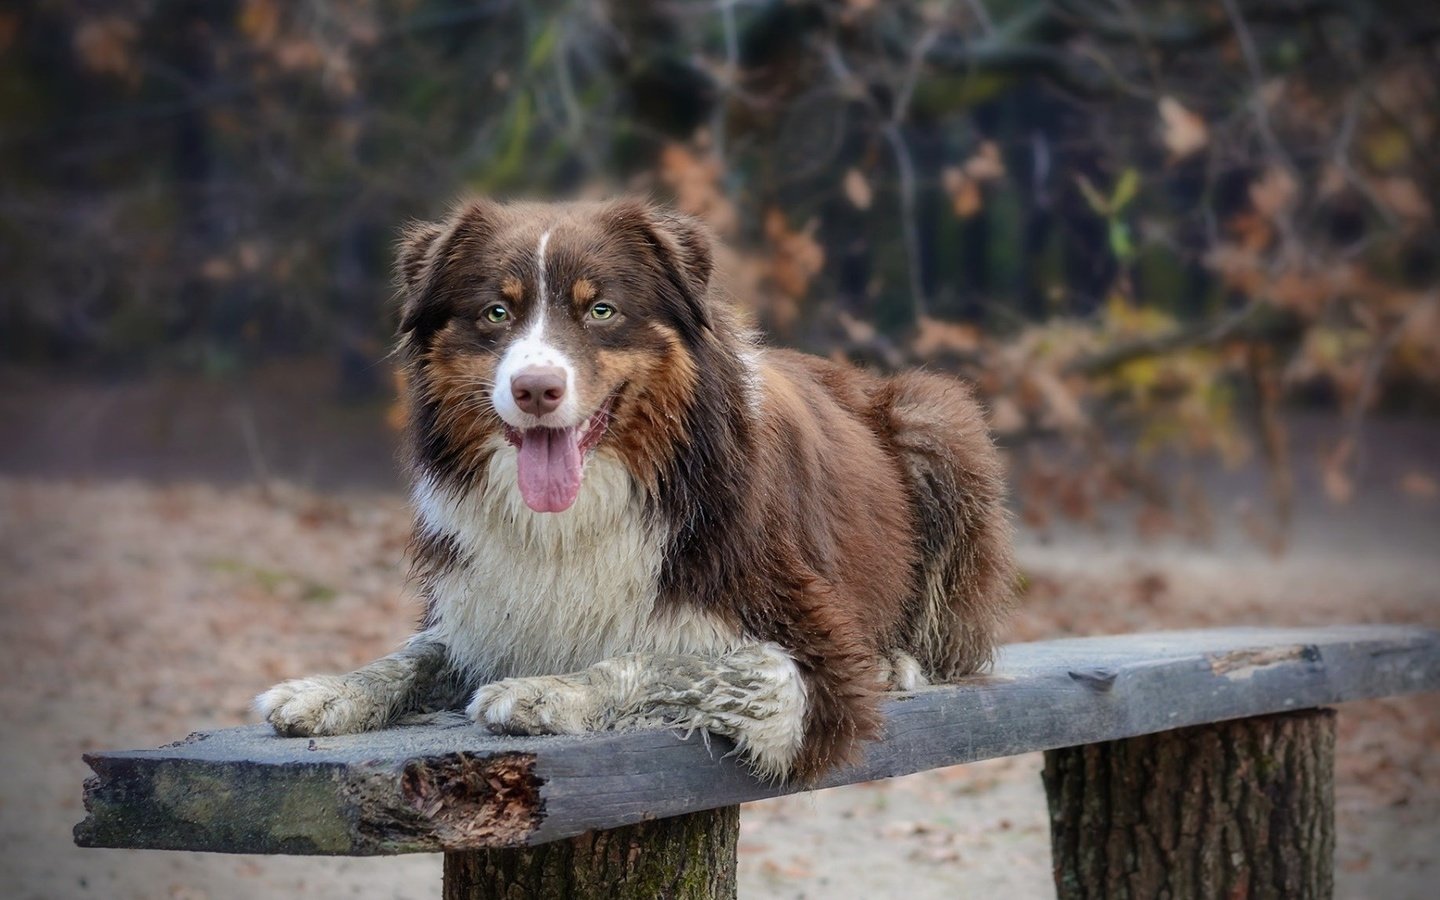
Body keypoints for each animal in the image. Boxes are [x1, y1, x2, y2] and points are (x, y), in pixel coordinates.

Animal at [262, 198, 1025, 777]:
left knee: (951, 648)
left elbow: (673, 660)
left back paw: (899, 662)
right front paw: (325, 689)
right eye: (496, 313)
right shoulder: (483, 608)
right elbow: (411, 655)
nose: (535, 388)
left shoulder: (815, 668)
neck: (582, 512)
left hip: (938, 418)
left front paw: (548, 689)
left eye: (600, 310)